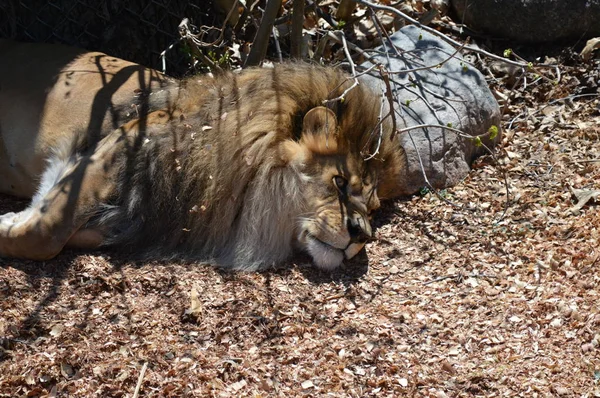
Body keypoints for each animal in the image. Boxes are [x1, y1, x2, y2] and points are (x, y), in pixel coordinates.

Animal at [0, 39, 406, 270]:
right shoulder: (127, 140)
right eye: (338, 183)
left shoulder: (128, 222)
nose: (361, 235)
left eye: (372, 210)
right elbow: (45, 235)